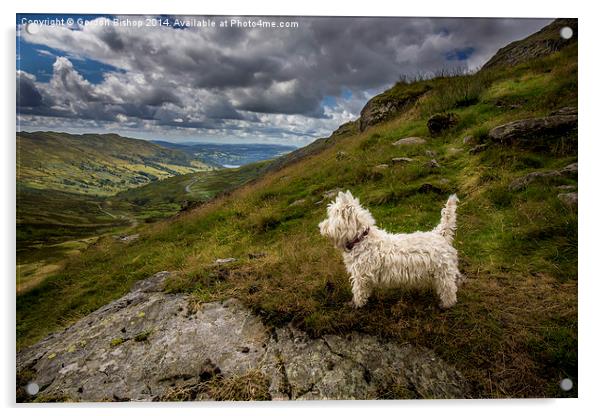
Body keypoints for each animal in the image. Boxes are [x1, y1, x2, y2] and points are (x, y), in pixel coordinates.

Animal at [316, 192, 462, 308]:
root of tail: (440, 234)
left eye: (331, 216)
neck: (361, 239)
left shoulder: (360, 276)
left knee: (449, 290)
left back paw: (446, 305)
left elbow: (358, 292)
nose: (320, 227)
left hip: (443, 273)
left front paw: (356, 305)